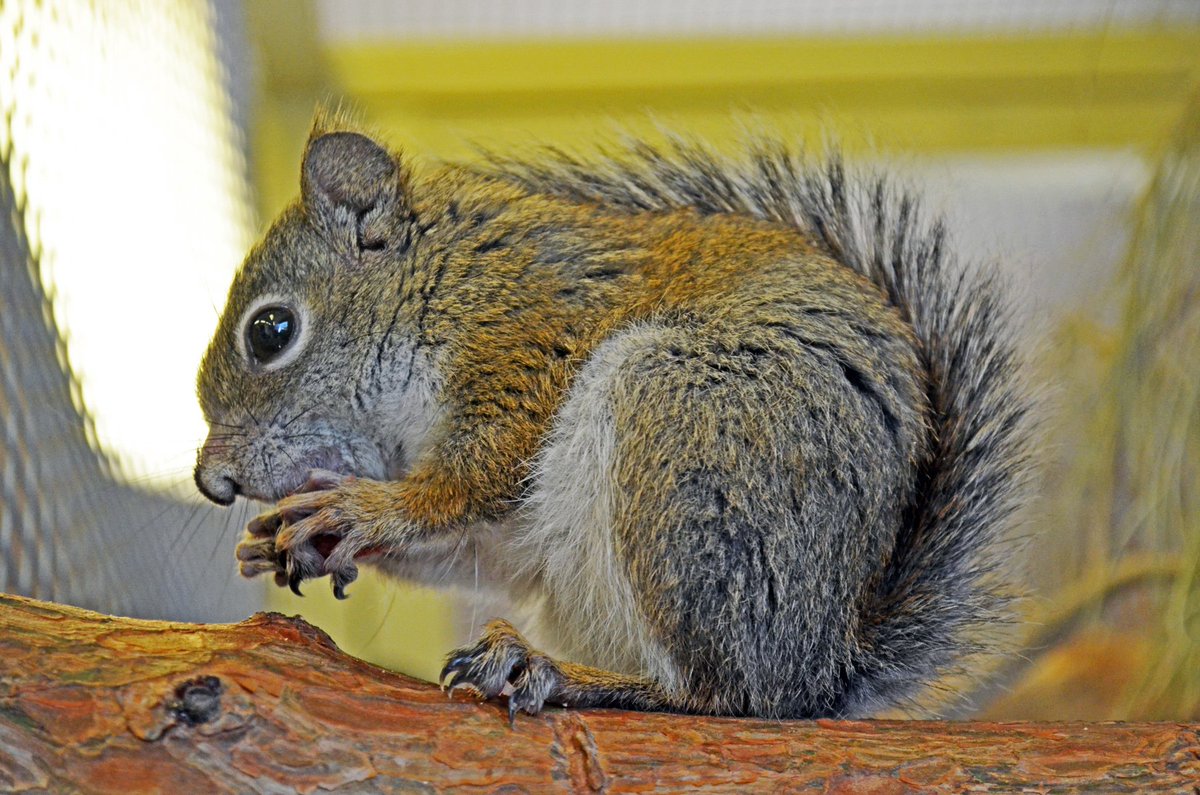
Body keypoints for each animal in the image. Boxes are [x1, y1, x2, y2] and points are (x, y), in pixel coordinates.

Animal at [194, 112, 1033, 721]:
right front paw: (299, 536)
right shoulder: (503, 528)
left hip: (679, 437)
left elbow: (470, 480)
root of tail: (823, 667)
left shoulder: (526, 346)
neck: (444, 281)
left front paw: (364, 509)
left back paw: (553, 669)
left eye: (271, 331)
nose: (212, 479)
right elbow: (477, 547)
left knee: (727, 693)